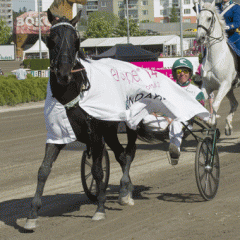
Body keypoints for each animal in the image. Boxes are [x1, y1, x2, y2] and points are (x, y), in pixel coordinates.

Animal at [24, 9, 152, 231]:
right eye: (51, 38)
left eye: (76, 40)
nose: (64, 73)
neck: (72, 93)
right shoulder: (57, 135)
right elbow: (43, 170)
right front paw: (33, 213)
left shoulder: (95, 135)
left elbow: (97, 171)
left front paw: (100, 208)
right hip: (110, 130)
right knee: (121, 155)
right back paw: (126, 190)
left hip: (128, 125)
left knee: (128, 155)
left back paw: (124, 191)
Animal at [196, 0, 239, 135]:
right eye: (198, 18)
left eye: (209, 18)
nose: (200, 38)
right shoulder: (207, 86)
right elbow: (200, 101)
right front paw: (208, 120)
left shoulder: (224, 84)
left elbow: (215, 105)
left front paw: (212, 121)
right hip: (230, 90)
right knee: (235, 103)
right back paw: (228, 125)